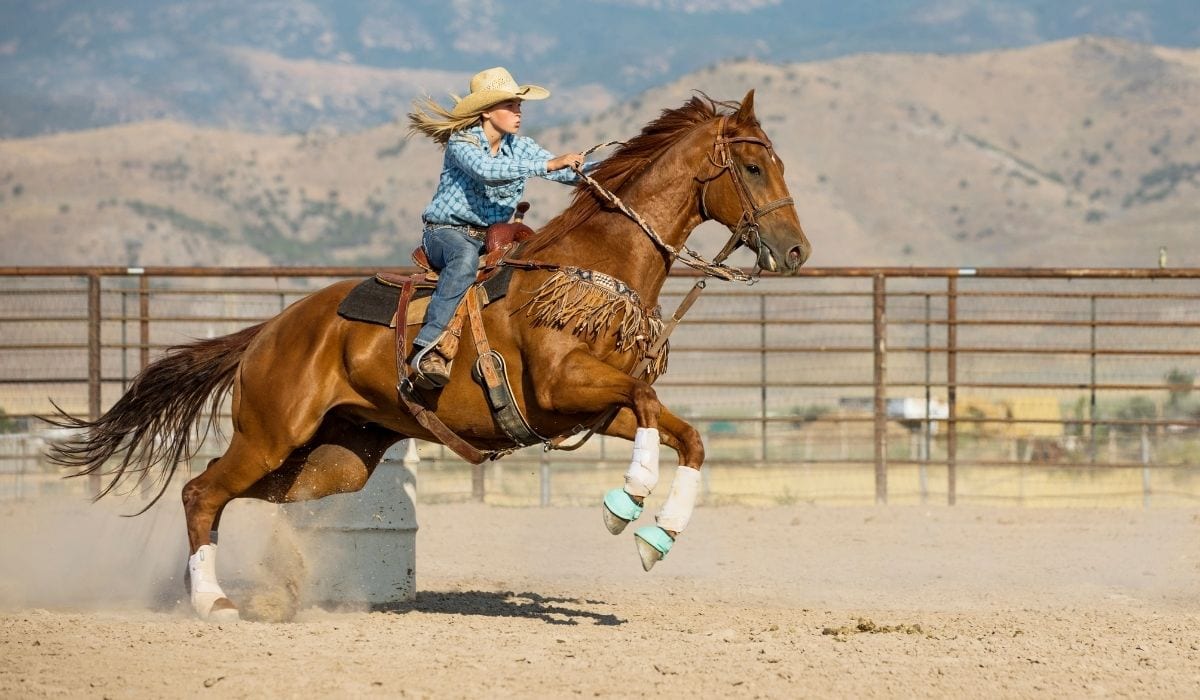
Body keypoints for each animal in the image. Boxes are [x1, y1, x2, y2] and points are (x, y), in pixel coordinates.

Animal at [49, 90, 816, 619]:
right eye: (753, 165)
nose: (796, 252)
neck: (594, 265)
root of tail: (270, 331)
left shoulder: (594, 410)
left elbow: (687, 435)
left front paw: (659, 536)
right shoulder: (566, 390)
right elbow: (651, 402)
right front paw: (624, 502)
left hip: (331, 460)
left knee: (230, 495)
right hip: (269, 433)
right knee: (200, 491)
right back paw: (212, 603)